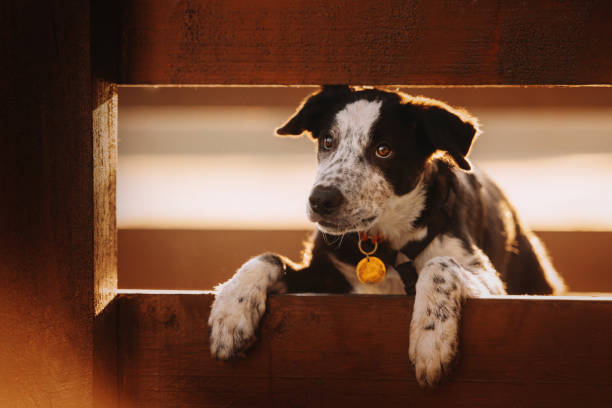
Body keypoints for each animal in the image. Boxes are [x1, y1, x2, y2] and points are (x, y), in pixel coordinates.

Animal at [208, 85, 568, 386]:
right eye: (327, 141)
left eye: (384, 150)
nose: (320, 200)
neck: (382, 246)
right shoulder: (326, 279)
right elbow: (267, 257)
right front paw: (230, 313)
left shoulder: (492, 286)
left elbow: (439, 265)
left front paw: (430, 340)